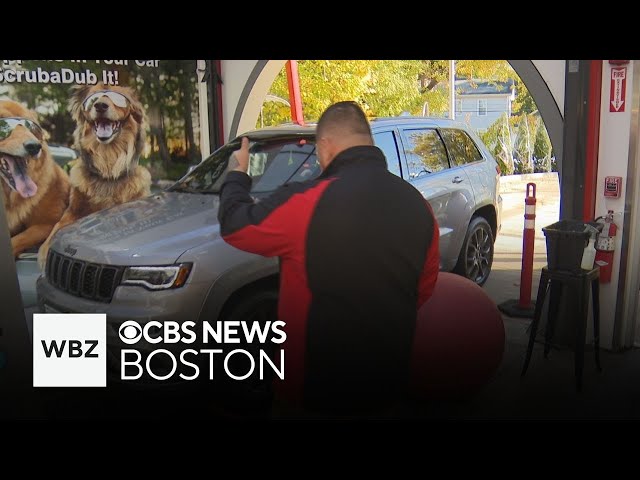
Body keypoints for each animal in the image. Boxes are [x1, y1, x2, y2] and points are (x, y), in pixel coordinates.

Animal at [37, 84, 151, 268]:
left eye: (117, 98)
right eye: (93, 99)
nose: (100, 106)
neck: (108, 167)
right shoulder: (73, 210)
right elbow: (58, 226)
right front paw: (45, 250)